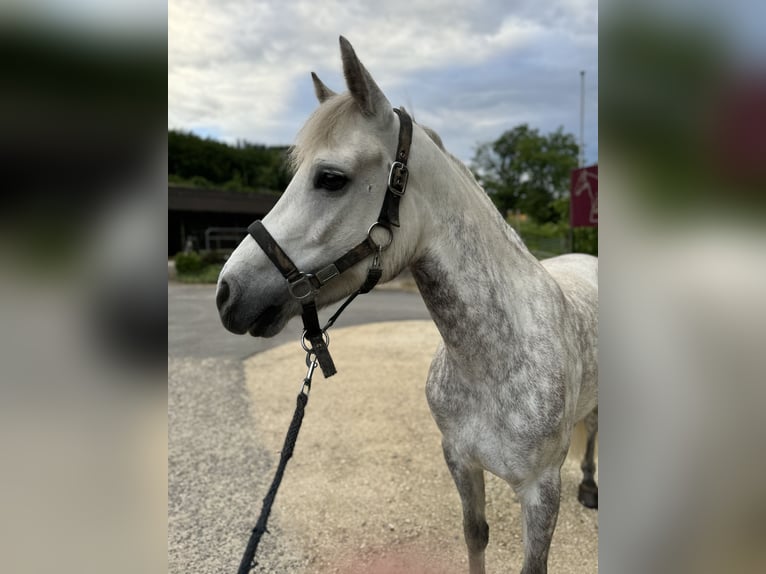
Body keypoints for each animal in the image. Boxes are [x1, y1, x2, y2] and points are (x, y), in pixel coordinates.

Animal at [216, 37, 600, 574]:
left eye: (330, 178)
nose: (226, 293)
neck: (492, 361)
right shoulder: (459, 460)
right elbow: (475, 535)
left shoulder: (540, 490)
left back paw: (590, 485)